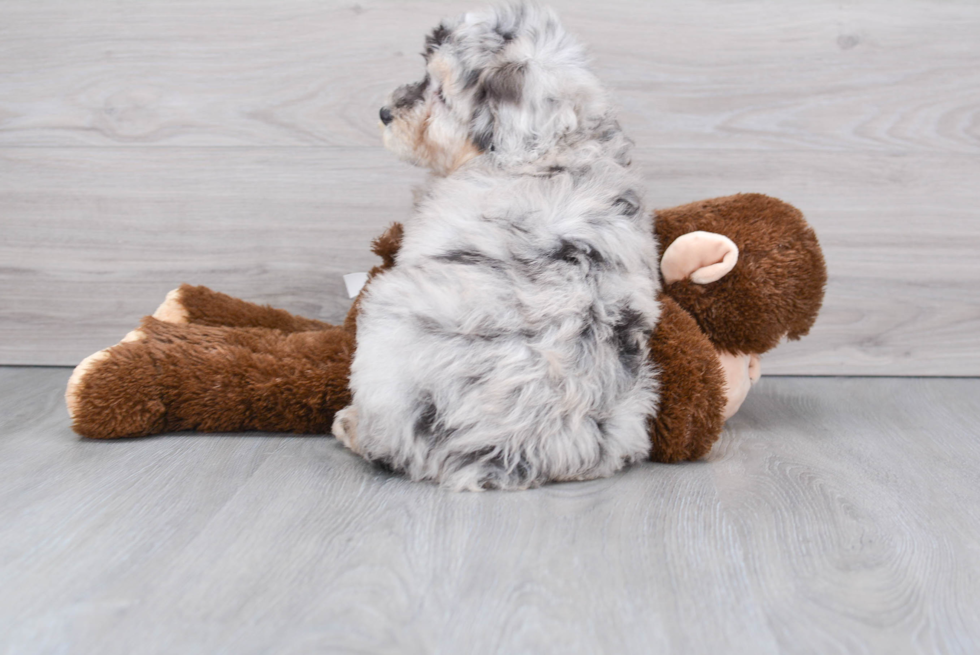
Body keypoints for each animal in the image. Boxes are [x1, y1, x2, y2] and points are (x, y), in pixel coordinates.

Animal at [334, 2, 664, 490]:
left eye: (441, 93)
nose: (384, 112)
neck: (550, 149)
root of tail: (507, 448)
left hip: (385, 323)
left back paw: (351, 426)